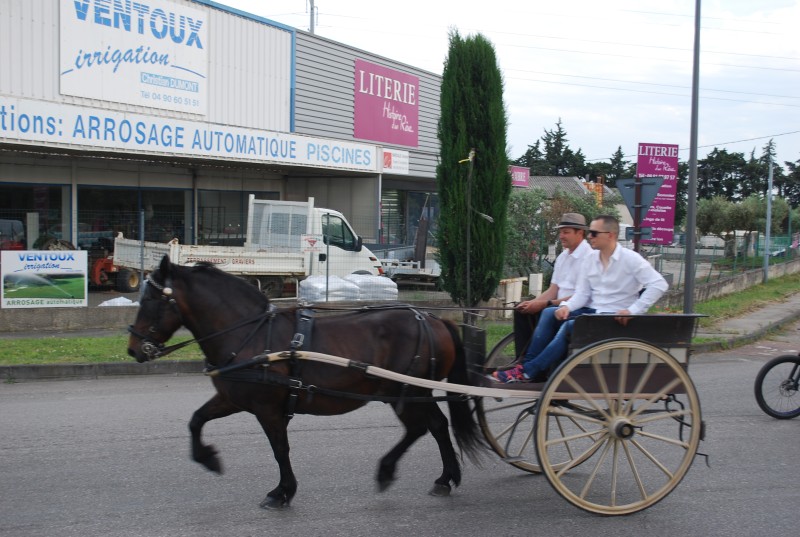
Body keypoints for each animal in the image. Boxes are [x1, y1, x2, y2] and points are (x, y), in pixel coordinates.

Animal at [128, 254, 484, 506]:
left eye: (151, 300)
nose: (133, 349)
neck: (250, 333)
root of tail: (433, 318)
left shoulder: (267, 409)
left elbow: (280, 449)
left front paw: (282, 491)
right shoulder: (231, 399)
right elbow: (196, 420)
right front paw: (208, 458)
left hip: (404, 391)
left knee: (419, 428)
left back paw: (388, 470)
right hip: (415, 392)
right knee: (437, 425)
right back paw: (445, 478)